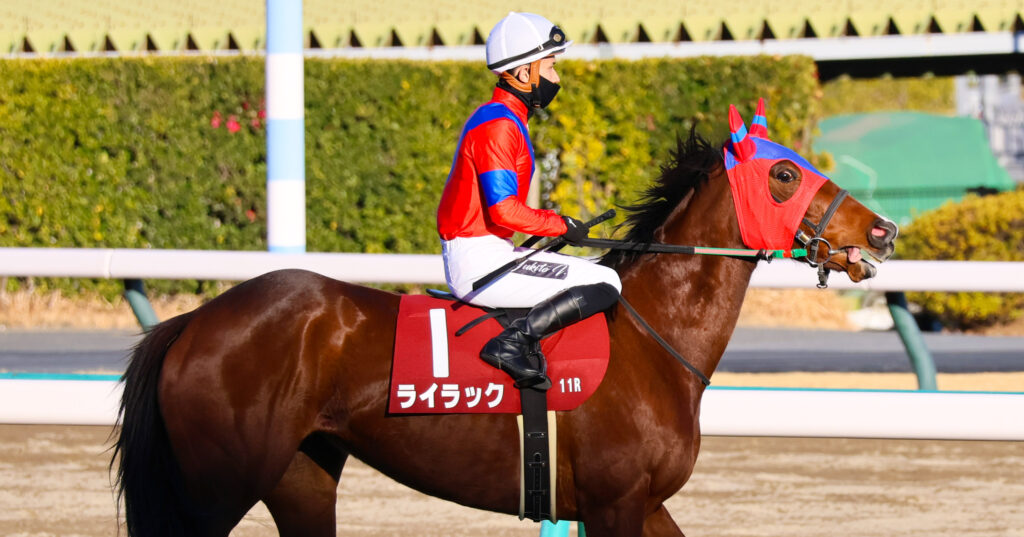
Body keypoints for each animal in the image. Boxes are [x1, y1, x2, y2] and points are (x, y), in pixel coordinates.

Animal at [112, 102, 897, 537]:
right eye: (785, 174)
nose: (884, 231)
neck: (654, 339)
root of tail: (190, 323)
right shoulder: (613, 503)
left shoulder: (642, 503)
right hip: (218, 483)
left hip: (301, 475)